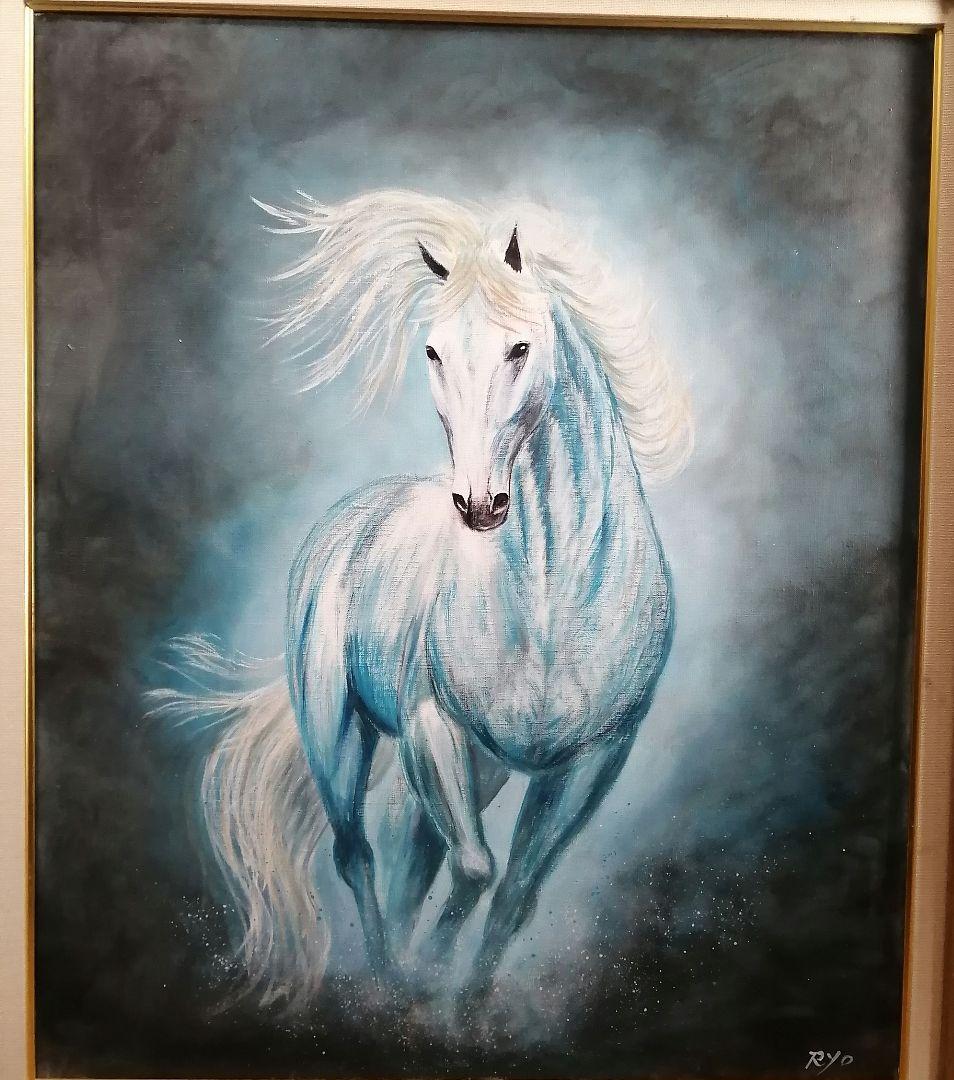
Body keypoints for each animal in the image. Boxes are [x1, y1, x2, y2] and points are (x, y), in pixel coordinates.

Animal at [151, 190, 693, 1011]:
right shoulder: (430, 728)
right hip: (339, 735)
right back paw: (386, 985)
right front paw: (420, 986)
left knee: (413, 863)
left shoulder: (593, 760)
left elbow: (513, 894)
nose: (478, 503)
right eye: (432, 352)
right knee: (358, 857)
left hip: (476, 768)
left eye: (520, 348)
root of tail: (347, 523)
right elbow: (475, 871)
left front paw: (459, 1014)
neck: (552, 600)